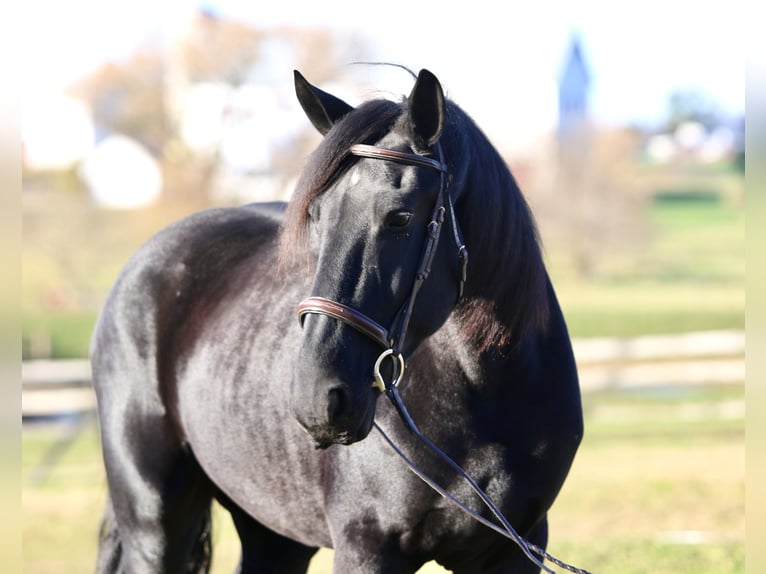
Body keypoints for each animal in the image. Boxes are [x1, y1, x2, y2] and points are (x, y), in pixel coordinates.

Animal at [91, 68, 584, 574]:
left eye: (400, 217)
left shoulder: (517, 547)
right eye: (317, 215)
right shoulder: (366, 547)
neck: (481, 401)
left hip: (273, 531)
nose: (316, 397)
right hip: (153, 522)